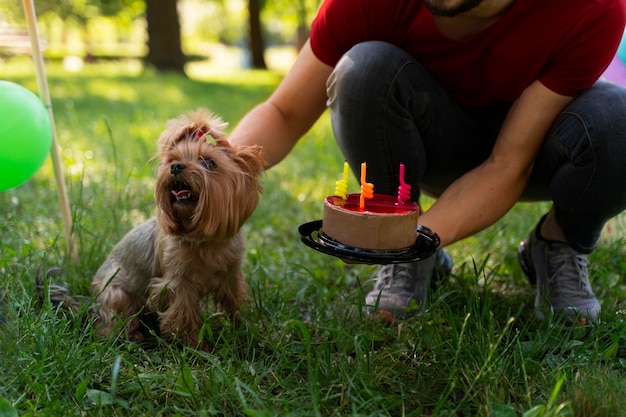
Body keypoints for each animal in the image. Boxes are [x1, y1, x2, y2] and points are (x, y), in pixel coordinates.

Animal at [39, 108, 264, 348]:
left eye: (209, 163)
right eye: (173, 160)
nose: (176, 167)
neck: (204, 237)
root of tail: (91, 305)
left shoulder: (231, 275)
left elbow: (234, 302)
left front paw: (245, 328)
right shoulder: (178, 283)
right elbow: (184, 314)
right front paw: (195, 345)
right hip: (117, 294)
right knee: (108, 325)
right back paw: (130, 335)